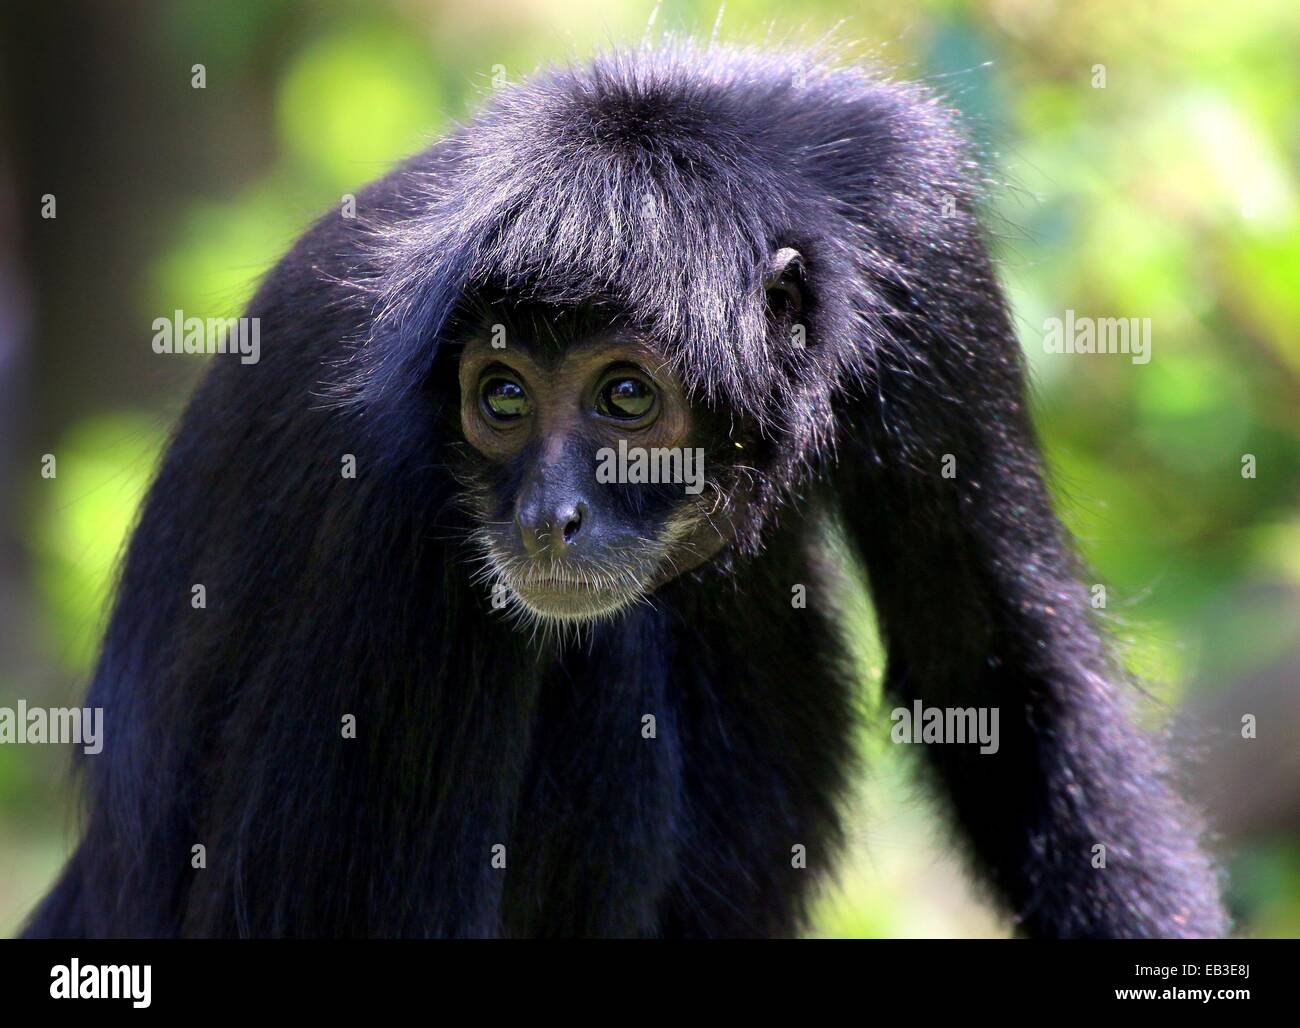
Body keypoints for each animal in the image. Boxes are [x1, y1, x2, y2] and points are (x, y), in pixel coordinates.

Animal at [27, 42, 1227, 940]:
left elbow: (990, 672)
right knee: (611, 659)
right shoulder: (391, 483)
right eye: (501, 397)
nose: (542, 515)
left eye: (624, 395)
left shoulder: (918, 238)